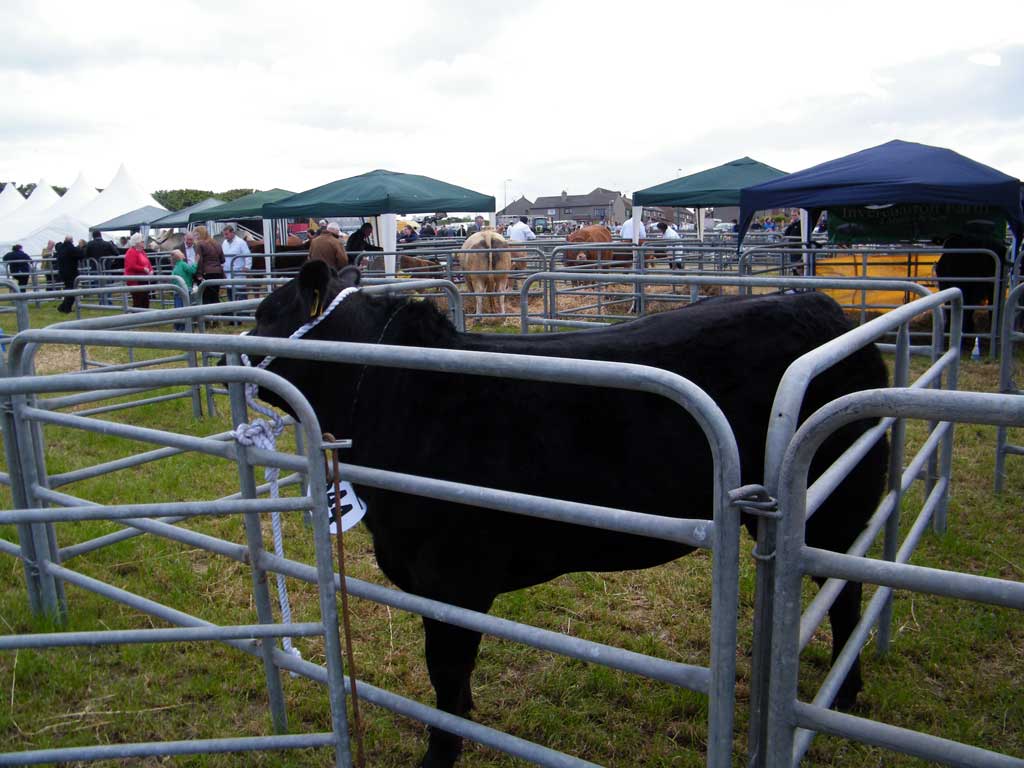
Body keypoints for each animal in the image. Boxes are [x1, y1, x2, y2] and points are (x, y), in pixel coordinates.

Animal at [247, 264, 888, 768]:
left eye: (266, 309)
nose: (240, 342)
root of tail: (822, 305)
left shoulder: (453, 577)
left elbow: (446, 670)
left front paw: (442, 750)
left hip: (838, 503)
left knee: (846, 591)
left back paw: (846, 691)